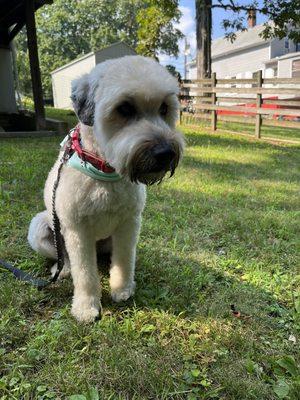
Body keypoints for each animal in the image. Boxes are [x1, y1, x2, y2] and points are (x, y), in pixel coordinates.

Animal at [28, 55, 184, 322]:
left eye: (164, 108)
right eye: (125, 108)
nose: (164, 153)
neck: (105, 170)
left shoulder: (129, 224)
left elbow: (124, 259)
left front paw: (122, 289)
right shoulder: (78, 230)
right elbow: (84, 273)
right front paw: (86, 307)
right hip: (41, 227)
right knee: (65, 258)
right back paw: (63, 269)